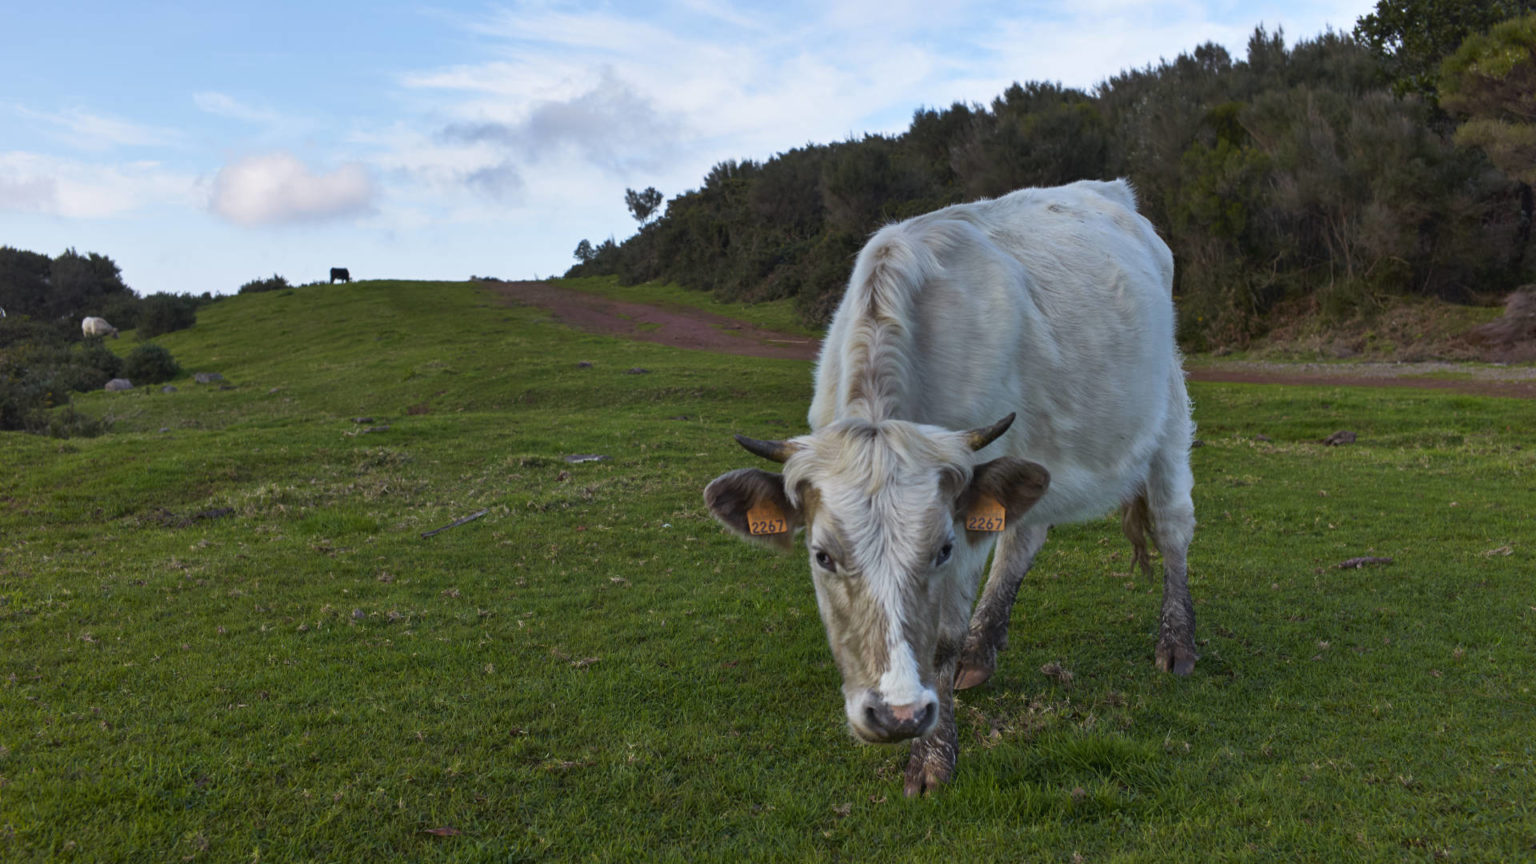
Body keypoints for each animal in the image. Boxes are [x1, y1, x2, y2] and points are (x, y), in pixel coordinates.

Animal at [706, 179, 1198, 793]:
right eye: (821, 556)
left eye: (939, 549)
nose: (896, 715)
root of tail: (1112, 191)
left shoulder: (967, 510)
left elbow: (941, 636)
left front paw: (933, 756)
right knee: (1023, 538)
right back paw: (981, 650)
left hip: (1169, 410)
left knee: (1173, 523)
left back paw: (1177, 642)